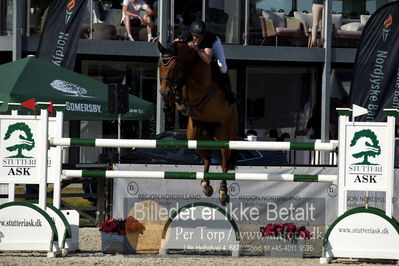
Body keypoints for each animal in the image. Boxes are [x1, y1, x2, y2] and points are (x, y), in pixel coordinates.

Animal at [158, 42, 239, 206]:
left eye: (174, 66)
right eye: (159, 65)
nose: (163, 92)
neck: (191, 63)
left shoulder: (200, 89)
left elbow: (185, 84)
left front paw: (179, 96)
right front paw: (173, 103)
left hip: (225, 135)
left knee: (224, 162)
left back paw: (223, 193)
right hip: (196, 136)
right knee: (207, 157)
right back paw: (206, 186)